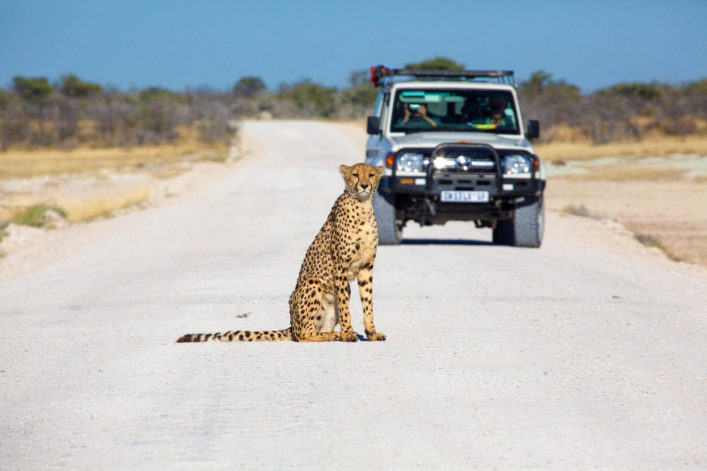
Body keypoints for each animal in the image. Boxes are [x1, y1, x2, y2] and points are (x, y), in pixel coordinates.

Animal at [176, 163, 386, 343]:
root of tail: (292, 324)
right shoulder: (340, 267)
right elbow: (344, 307)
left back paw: (332, 334)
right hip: (313, 283)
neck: (363, 206)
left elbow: (368, 302)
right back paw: (333, 335)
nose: (364, 185)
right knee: (304, 335)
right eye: (355, 174)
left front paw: (372, 333)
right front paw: (348, 333)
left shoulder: (366, 267)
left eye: (371, 175)